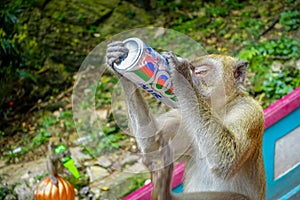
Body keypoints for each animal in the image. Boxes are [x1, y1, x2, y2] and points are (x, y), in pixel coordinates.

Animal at [105, 41, 264, 199]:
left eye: (201, 71)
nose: (192, 73)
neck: (217, 110)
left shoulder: (249, 111)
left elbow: (226, 158)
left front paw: (180, 72)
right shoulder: (181, 117)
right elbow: (153, 147)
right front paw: (119, 64)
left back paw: (164, 191)